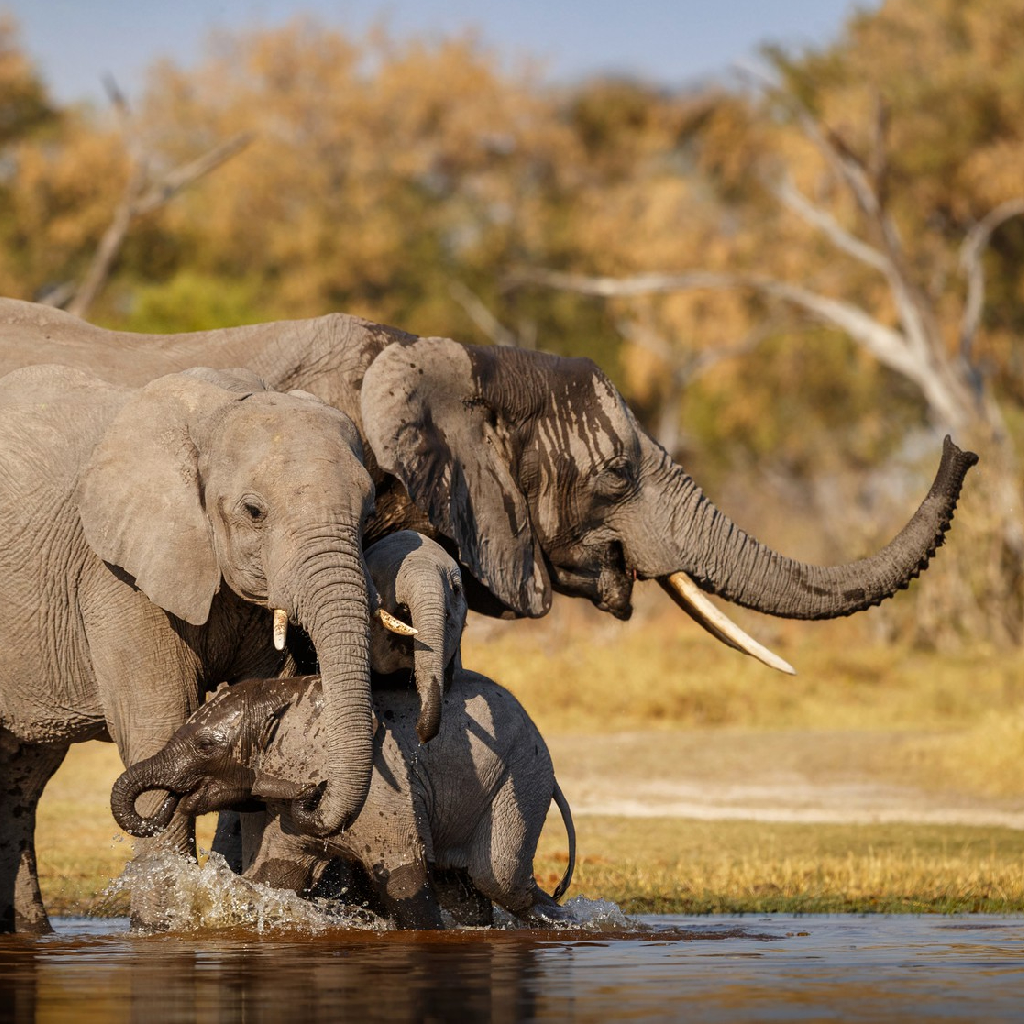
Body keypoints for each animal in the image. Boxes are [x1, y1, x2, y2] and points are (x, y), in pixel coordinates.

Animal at [0, 363, 381, 933]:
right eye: (254, 511)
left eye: (368, 509)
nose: (315, 794)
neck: (216, 412)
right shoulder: (117, 575)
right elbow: (159, 720)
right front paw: (164, 929)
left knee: (24, 774)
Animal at [110, 671, 577, 929]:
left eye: (206, 746)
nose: (172, 800)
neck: (288, 696)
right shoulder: (283, 809)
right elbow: (275, 878)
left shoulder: (385, 790)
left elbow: (405, 879)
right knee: (466, 890)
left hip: (521, 777)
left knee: (499, 879)